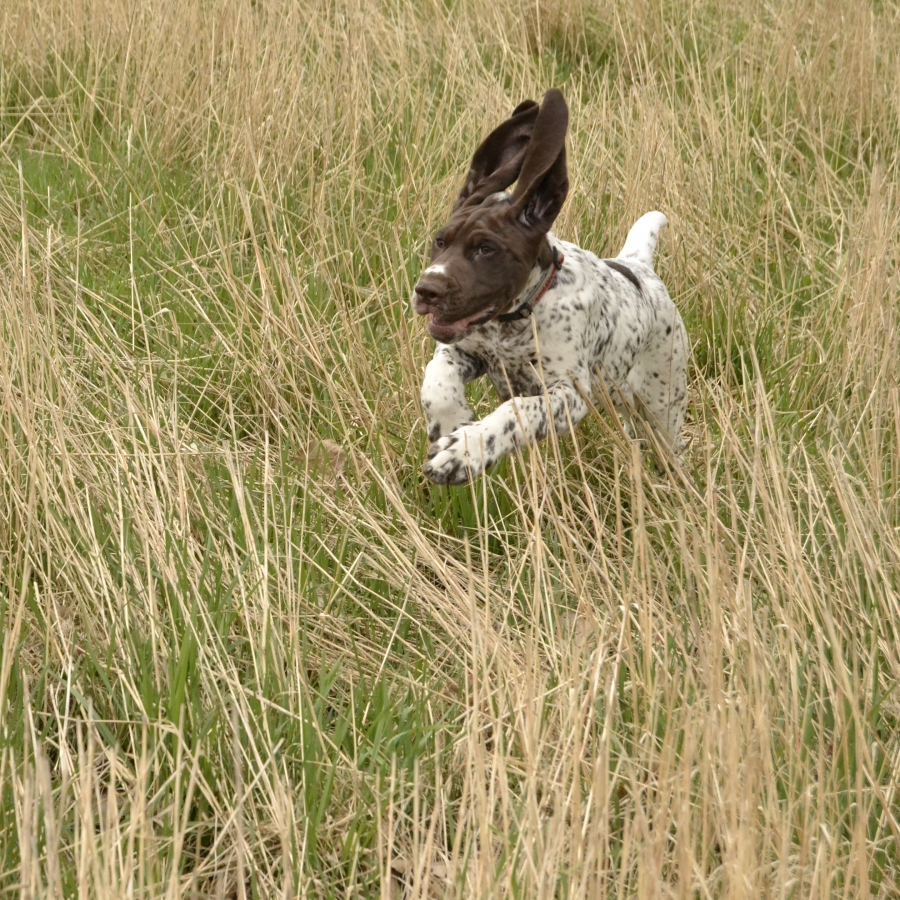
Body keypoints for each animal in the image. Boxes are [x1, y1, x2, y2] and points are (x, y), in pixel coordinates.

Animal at [412, 89, 688, 486]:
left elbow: (518, 411)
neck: (515, 319)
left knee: (670, 447)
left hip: (662, 403)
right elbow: (436, 377)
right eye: (440, 241)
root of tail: (638, 265)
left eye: (486, 249)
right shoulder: (466, 350)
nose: (426, 290)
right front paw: (451, 421)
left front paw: (466, 450)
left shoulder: (568, 395)